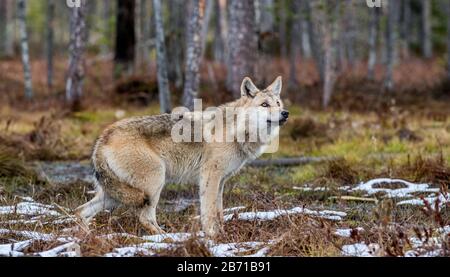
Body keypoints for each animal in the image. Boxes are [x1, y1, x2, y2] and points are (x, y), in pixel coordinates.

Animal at [75, 76, 290, 235]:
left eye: (278, 103)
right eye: (264, 105)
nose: (285, 113)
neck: (236, 130)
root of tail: (103, 138)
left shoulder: (221, 181)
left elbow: (219, 212)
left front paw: (223, 235)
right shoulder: (209, 176)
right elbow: (209, 212)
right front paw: (213, 237)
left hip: (116, 196)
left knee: (79, 212)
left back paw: (87, 238)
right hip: (154, 184)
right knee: (145, 218)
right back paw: (166, 239)